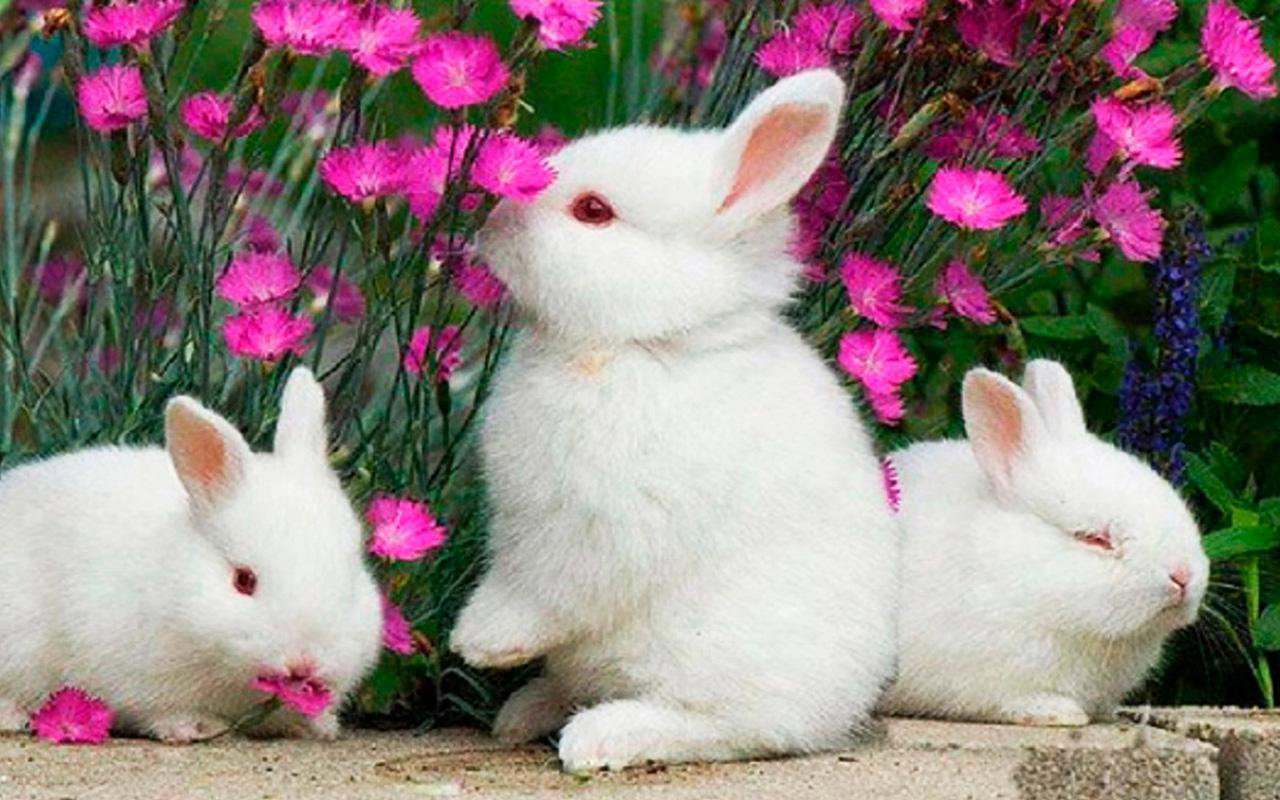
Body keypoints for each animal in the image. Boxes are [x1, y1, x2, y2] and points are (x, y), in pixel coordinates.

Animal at [0, 367, 382, 743]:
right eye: (243, 580)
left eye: (350, 581)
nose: (303, 661)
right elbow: (158, 711)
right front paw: (194, 727)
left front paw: (317, 726)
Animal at [449, 69, 899, 771]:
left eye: (594, 212)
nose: (491, 222)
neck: (646, 344)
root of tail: (843, 706)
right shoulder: (522, 518)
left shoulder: (598, 525)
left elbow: (547, 589)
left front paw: (482, 641)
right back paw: (525, 712)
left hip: (719, 659)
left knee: (729, 728)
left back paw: (600, 736)